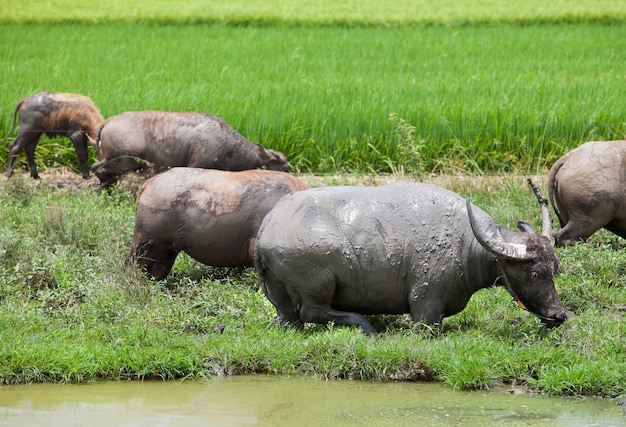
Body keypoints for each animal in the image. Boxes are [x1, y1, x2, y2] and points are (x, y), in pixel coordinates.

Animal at [90, 111, 290, 188]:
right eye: (286, 168)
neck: (228, 144)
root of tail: (109, 122)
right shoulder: (197, 164)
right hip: (123, 161)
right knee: (100, 171)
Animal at [252, 179, 564, 336]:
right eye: (534, 273)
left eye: (555, 269)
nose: (559, 315)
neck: (467, 243)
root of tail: (267, 228)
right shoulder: (425, 304)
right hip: (320, 282)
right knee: (312, 311)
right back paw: (365, 326)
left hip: (279, 297)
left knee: (291, 319)